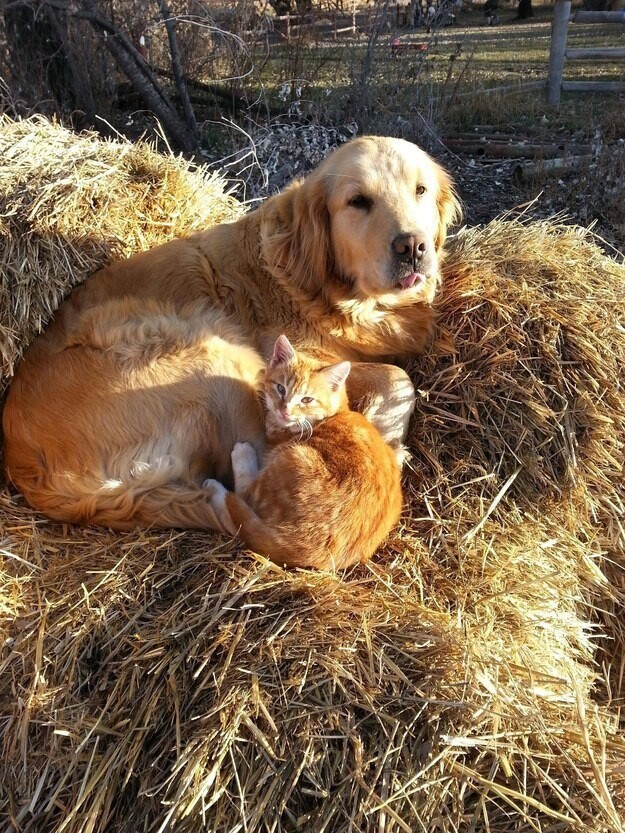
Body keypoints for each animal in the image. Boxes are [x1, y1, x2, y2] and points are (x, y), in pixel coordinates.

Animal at [2, 133, 460, 528]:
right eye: (358, 201)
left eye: (420, 190)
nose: (413, 247)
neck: (320, 285)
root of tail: (31, 474)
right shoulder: (298, 363)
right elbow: (396, 378)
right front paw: (389, 434)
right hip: (208, 353)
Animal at [202, 334, 402, 568]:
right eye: (281, 388)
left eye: (306, 399)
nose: (284, 410)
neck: (330, 416)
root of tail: (314, 551)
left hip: (291, 459)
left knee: (242, 503)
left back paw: (223, 479)